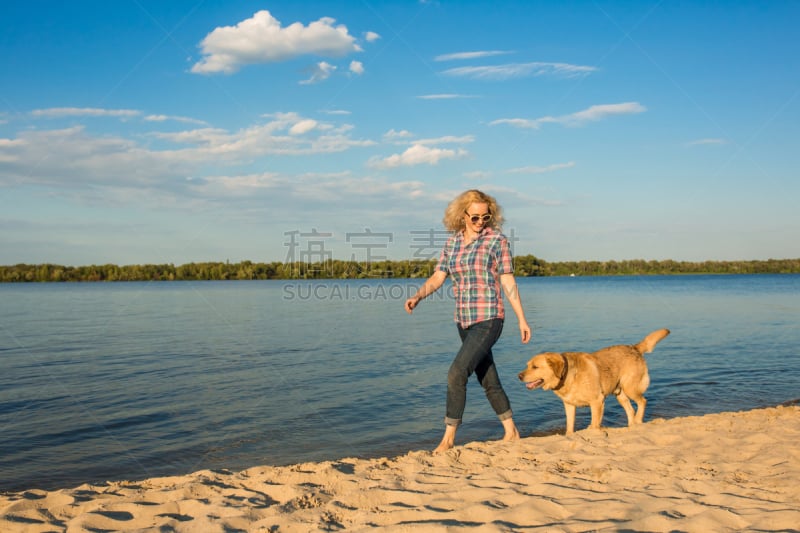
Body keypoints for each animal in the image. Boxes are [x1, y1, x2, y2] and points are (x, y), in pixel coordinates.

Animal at [520, 330, 668, 434]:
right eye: (528, 365)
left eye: (535, 367)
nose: (519, 376)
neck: (568, 375)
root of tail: (634, 347)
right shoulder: (569, 405)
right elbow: (570, 426)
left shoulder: (597, 401)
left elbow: (595, 423)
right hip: (620, 394)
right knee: (630, 410)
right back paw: (632, 426)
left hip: (630, 388)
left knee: (642, 401)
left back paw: (638, 420)